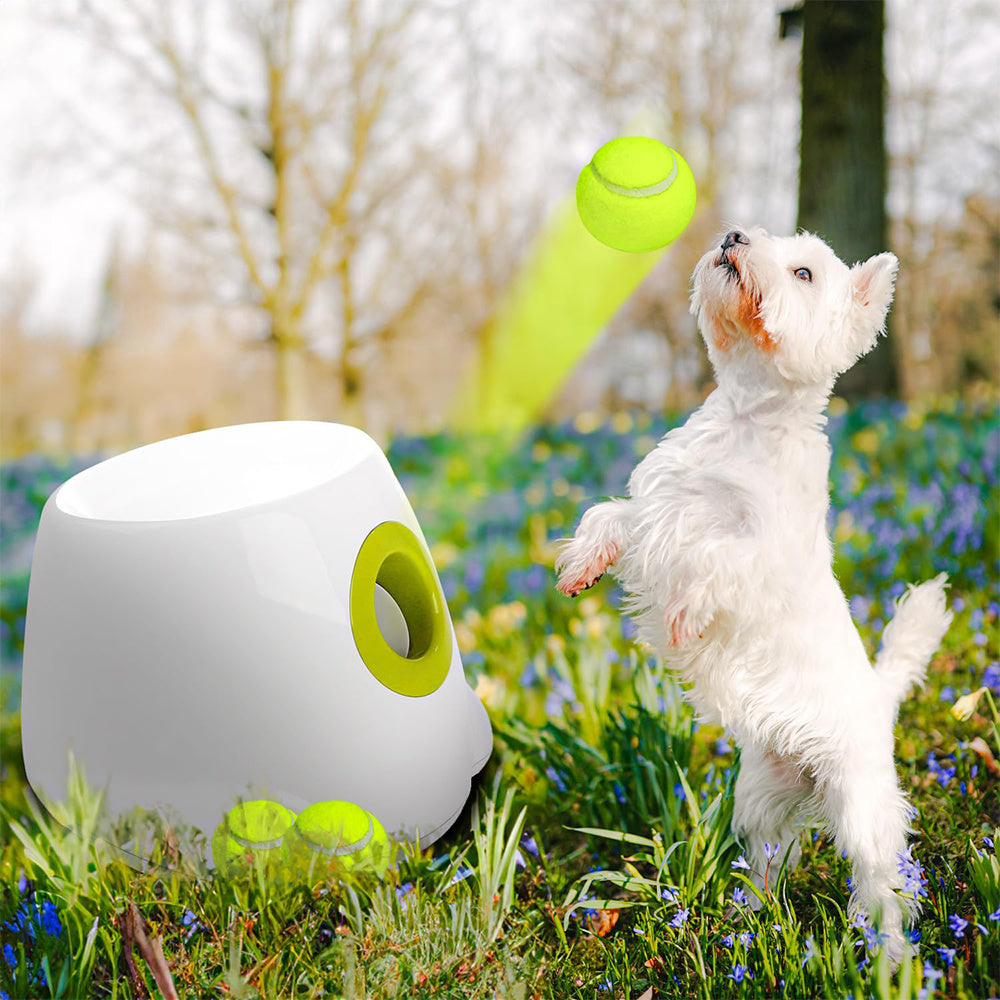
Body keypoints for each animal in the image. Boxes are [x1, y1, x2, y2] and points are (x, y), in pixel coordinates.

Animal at [556, 227, 952, 960]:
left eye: (804, 271)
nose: (734, 236)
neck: (744, 417)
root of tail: (878, 700)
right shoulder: (653, 511)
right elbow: (608, 516)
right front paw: (582, 566)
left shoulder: (759, 550)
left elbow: (713, 561)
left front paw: (683, 613)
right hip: (761, 793)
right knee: (770, 856)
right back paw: (750, 918)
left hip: (861, 806)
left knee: (882, 884)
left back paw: (890, 957)